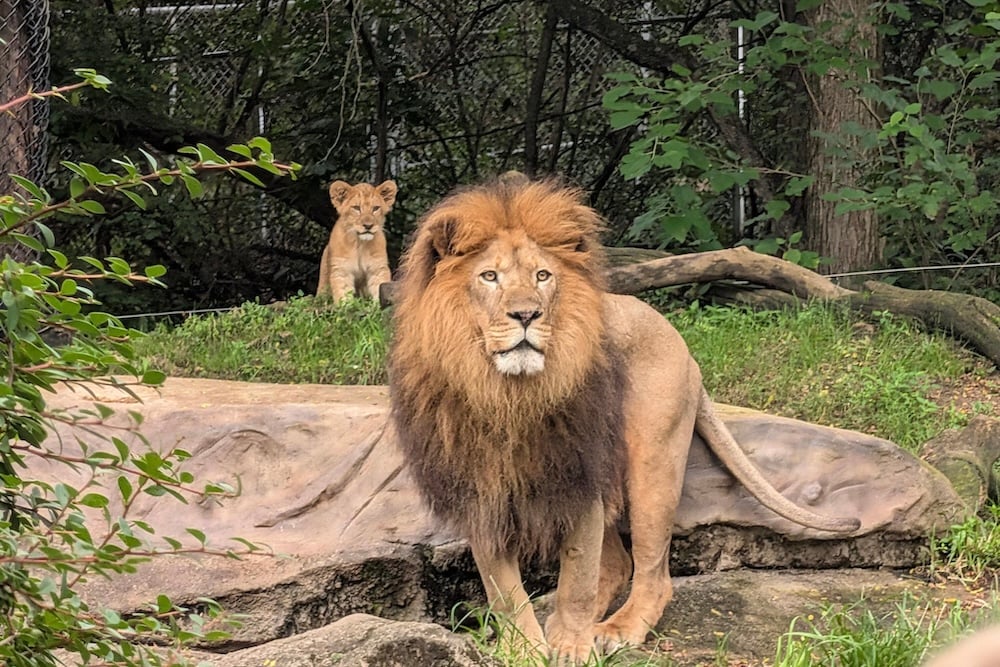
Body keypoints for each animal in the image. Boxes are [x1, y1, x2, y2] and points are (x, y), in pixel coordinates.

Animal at [388, 177, 860, 663]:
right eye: (489, 276)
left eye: (543, 276)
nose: (527, 315)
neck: (509, 396)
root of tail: (681, 343)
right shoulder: (479, 494)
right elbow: (504, 591)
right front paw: (526, 650)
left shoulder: (578, 477)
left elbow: (577, 578)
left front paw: (572, 647)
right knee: (616, 563)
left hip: (652, 464)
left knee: (652, 572)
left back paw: (615, 629)